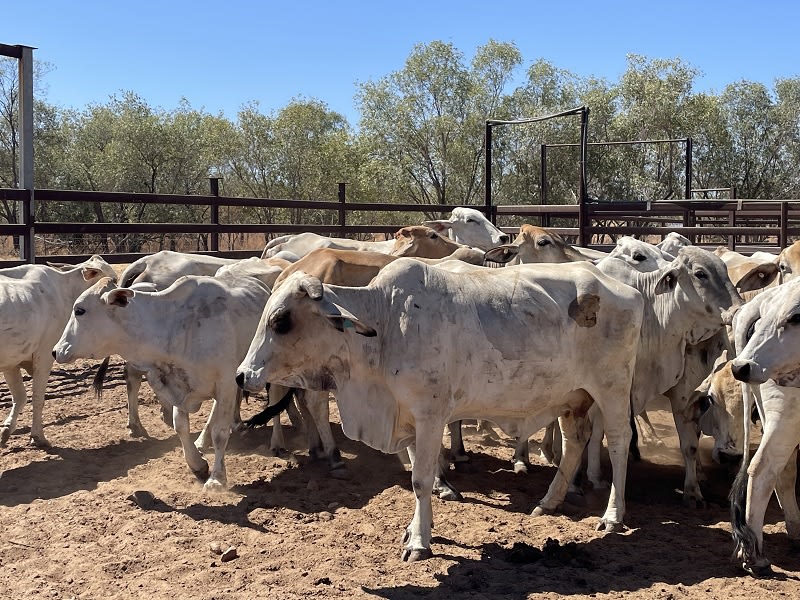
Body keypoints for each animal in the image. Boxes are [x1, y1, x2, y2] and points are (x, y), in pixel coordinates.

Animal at [0, 255, 118, 447]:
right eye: (114, 279)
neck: (64, 290)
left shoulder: (12, 362)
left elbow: (20, 396)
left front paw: (6, 431)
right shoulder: (45, 355)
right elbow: (37, 398)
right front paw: (38, 436)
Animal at [53, 271, 273, 490]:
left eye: (79, 310)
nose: (56, 351)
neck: (174, 327)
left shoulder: (226, 382)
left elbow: (220, 432)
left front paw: (217, 479)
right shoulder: (178, 387)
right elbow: (180, 426)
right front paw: (198, 464)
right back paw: (203, 440)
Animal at [236, 258, 644, 560]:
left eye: (281, 321)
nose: (242, 375)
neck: (386, 325)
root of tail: (624, 289)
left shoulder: (430, 416)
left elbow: (420, 479)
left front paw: (420, 542)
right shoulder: (411, 420)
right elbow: (425, 474)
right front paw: (417, 529)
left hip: (611, 387)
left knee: (619, 441)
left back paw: (612, 516)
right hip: (573, 396)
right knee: (576, 442)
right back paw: (549, 501)